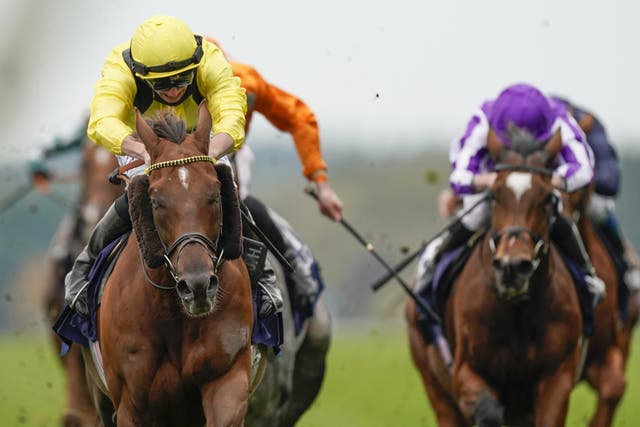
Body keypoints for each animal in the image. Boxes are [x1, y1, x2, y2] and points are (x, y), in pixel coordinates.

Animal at [84, 104, 254, 427]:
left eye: (215, 194)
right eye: (156, 201)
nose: (198, 285)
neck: (173, 314)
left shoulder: (227, 378)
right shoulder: (131, 404)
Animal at [408, 132, 588, 426]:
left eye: (547, 198)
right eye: (494, 196)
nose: (512, 267)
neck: (517, 312)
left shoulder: (557, 376)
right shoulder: (466, 372)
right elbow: (488, 412)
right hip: (435, 386)